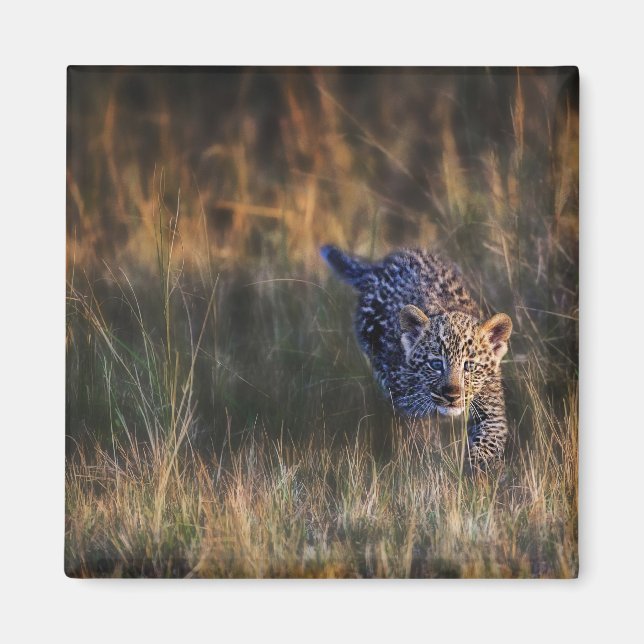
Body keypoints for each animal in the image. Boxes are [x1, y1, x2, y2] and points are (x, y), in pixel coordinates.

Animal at [320, 244, 513, 468]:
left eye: (469, 366)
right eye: (436, 364)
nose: (452, 395)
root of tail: (379, 267)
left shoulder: (492, 410)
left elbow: (487, 442)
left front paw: (477, 470)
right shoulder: (407, 406)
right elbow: (421, 437)